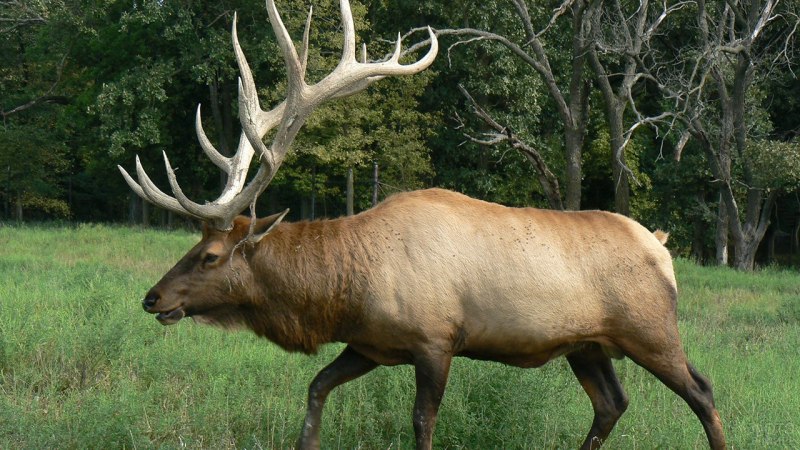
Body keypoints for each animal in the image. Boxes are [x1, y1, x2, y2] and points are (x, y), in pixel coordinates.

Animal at [118, 1, 726, 449]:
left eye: (211, 255)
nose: (151, 297)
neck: (346, 289)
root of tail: (663, 246)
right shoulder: (368, 343)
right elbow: (316, 390)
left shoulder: (436, 339)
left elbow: (422, 423)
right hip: (588, 344)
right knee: (612, 403)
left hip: (650, 328)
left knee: (702, 390)